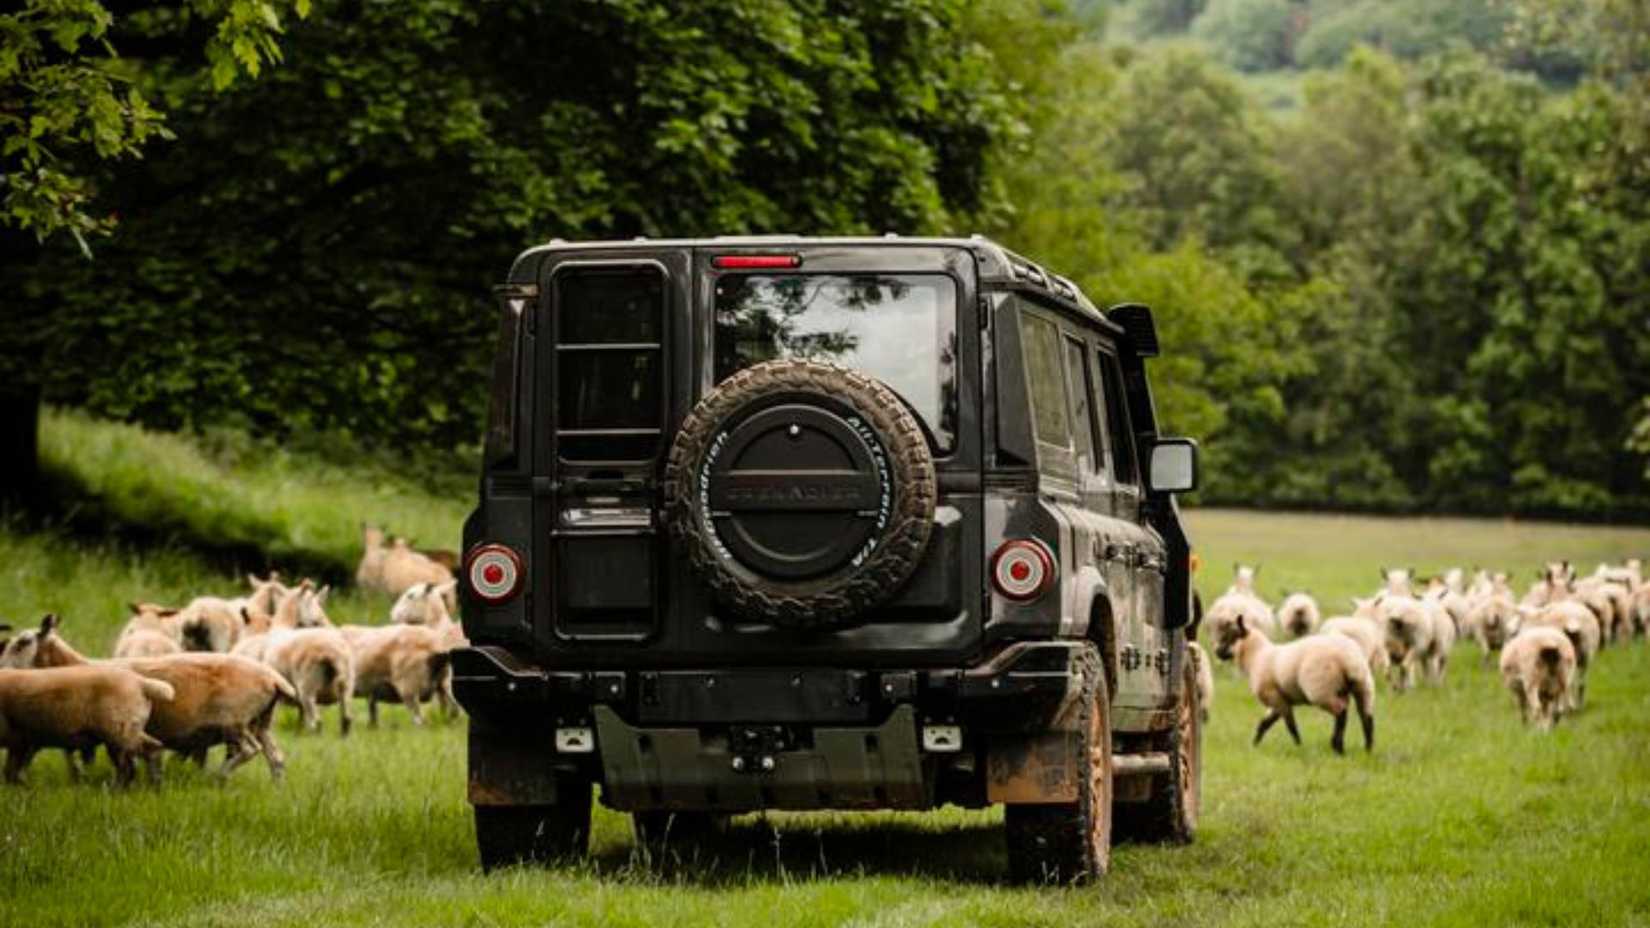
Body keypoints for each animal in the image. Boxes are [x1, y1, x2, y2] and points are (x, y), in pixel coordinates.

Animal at [0, 663, 174, 786]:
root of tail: (141, 682)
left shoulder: (20, 740)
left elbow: (13, 771)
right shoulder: (24, 741)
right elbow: (11, 771)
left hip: (117, 729)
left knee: (129, 765)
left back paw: (116, 791)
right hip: (130, 727)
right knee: (151, 750)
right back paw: (154, 785)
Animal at [1211, 615, 1375, 754]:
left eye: (1229, 637)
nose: (1217, 652)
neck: (1256, 657)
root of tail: (1349, 659)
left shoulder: (1275, 697)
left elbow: (1290, 725)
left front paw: (1299, 746)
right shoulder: (1279, 700)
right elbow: (1264, 723)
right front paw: (1254, 745)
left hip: (1322, 690)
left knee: (1341, 713)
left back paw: (1337, 747)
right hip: (1362, 687)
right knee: (1366, 717)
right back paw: (1367, 749)